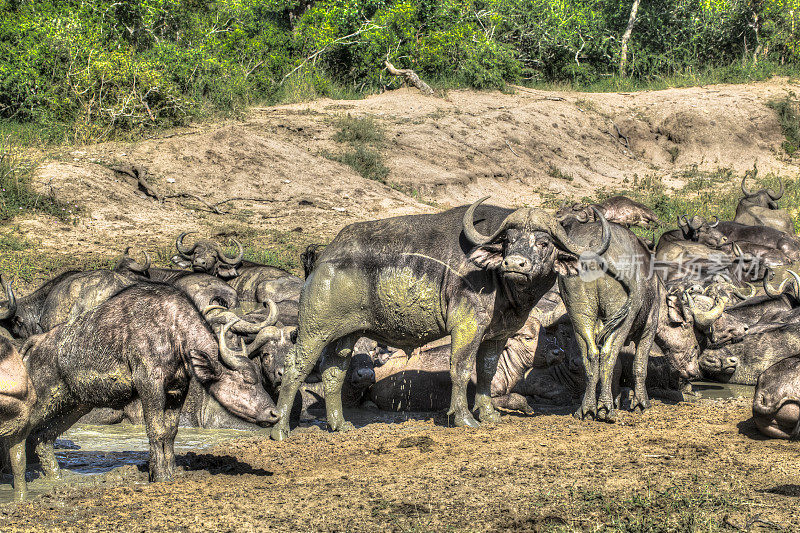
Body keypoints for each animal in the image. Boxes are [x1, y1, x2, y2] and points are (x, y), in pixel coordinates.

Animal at [23, 284, 280, 480]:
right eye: (247, 379)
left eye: (257, 377)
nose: (274, 414)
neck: (174, 332)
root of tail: (35, 343)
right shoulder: (149, 385)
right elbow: (156, 430)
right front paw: (160, 475)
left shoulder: (177, 391)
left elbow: (171, 432)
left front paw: (171, 470)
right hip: (42, 403)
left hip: (74, 405)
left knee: (42, 438)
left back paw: (55, 476)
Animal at [268, 197, 612, 438]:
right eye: (509, 240)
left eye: (543, 242)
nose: (515, 263)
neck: (502, 283)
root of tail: (323, 256)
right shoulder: (466, 326)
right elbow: (460, 369)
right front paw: (463, 418)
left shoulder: (497, 334)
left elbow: (486, 371)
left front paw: (488, 414)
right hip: (314, 330)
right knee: (296, 367)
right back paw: (281, 429)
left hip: (345, 335)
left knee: (334, 372)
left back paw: (339, 425)